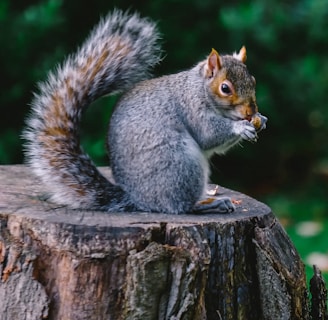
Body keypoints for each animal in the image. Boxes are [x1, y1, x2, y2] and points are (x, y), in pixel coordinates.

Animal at [25, 9, 266, 215]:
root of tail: (138, 200)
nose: (250, 111)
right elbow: (208, 135)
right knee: (180, 207)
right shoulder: (191, 108)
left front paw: (260, 120)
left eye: (253, 80)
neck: (199, 88)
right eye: (225, 88)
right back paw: (210, 204)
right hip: (180, 164)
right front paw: (240, 127)